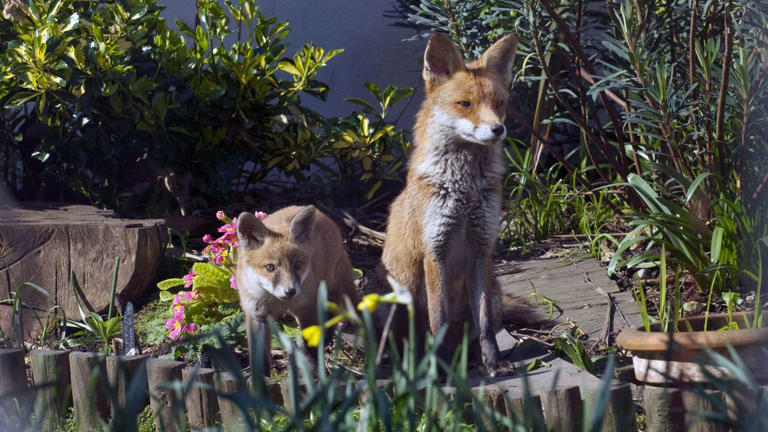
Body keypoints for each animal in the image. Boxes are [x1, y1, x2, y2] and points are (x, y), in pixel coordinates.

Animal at [236, 205, 358, 374]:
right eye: (270, 267)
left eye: (298, 265)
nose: (290, 291)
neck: (276, 301)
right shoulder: (256, 315)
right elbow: (259, 356)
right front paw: (262, 378)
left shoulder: (307, 309)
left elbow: (310, 344)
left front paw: (313, 370)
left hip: (328, 287)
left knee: (333, 310)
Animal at [380, 33, 518, 377]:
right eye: (465, 104)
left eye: (498, 103)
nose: (498, 129)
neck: (464, 189)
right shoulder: (435, 249)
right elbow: (437, 321)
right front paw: (439, 371)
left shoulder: (482, 247)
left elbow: (484, 324)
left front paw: (493, 361)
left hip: (495, 292)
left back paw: (469, 357)